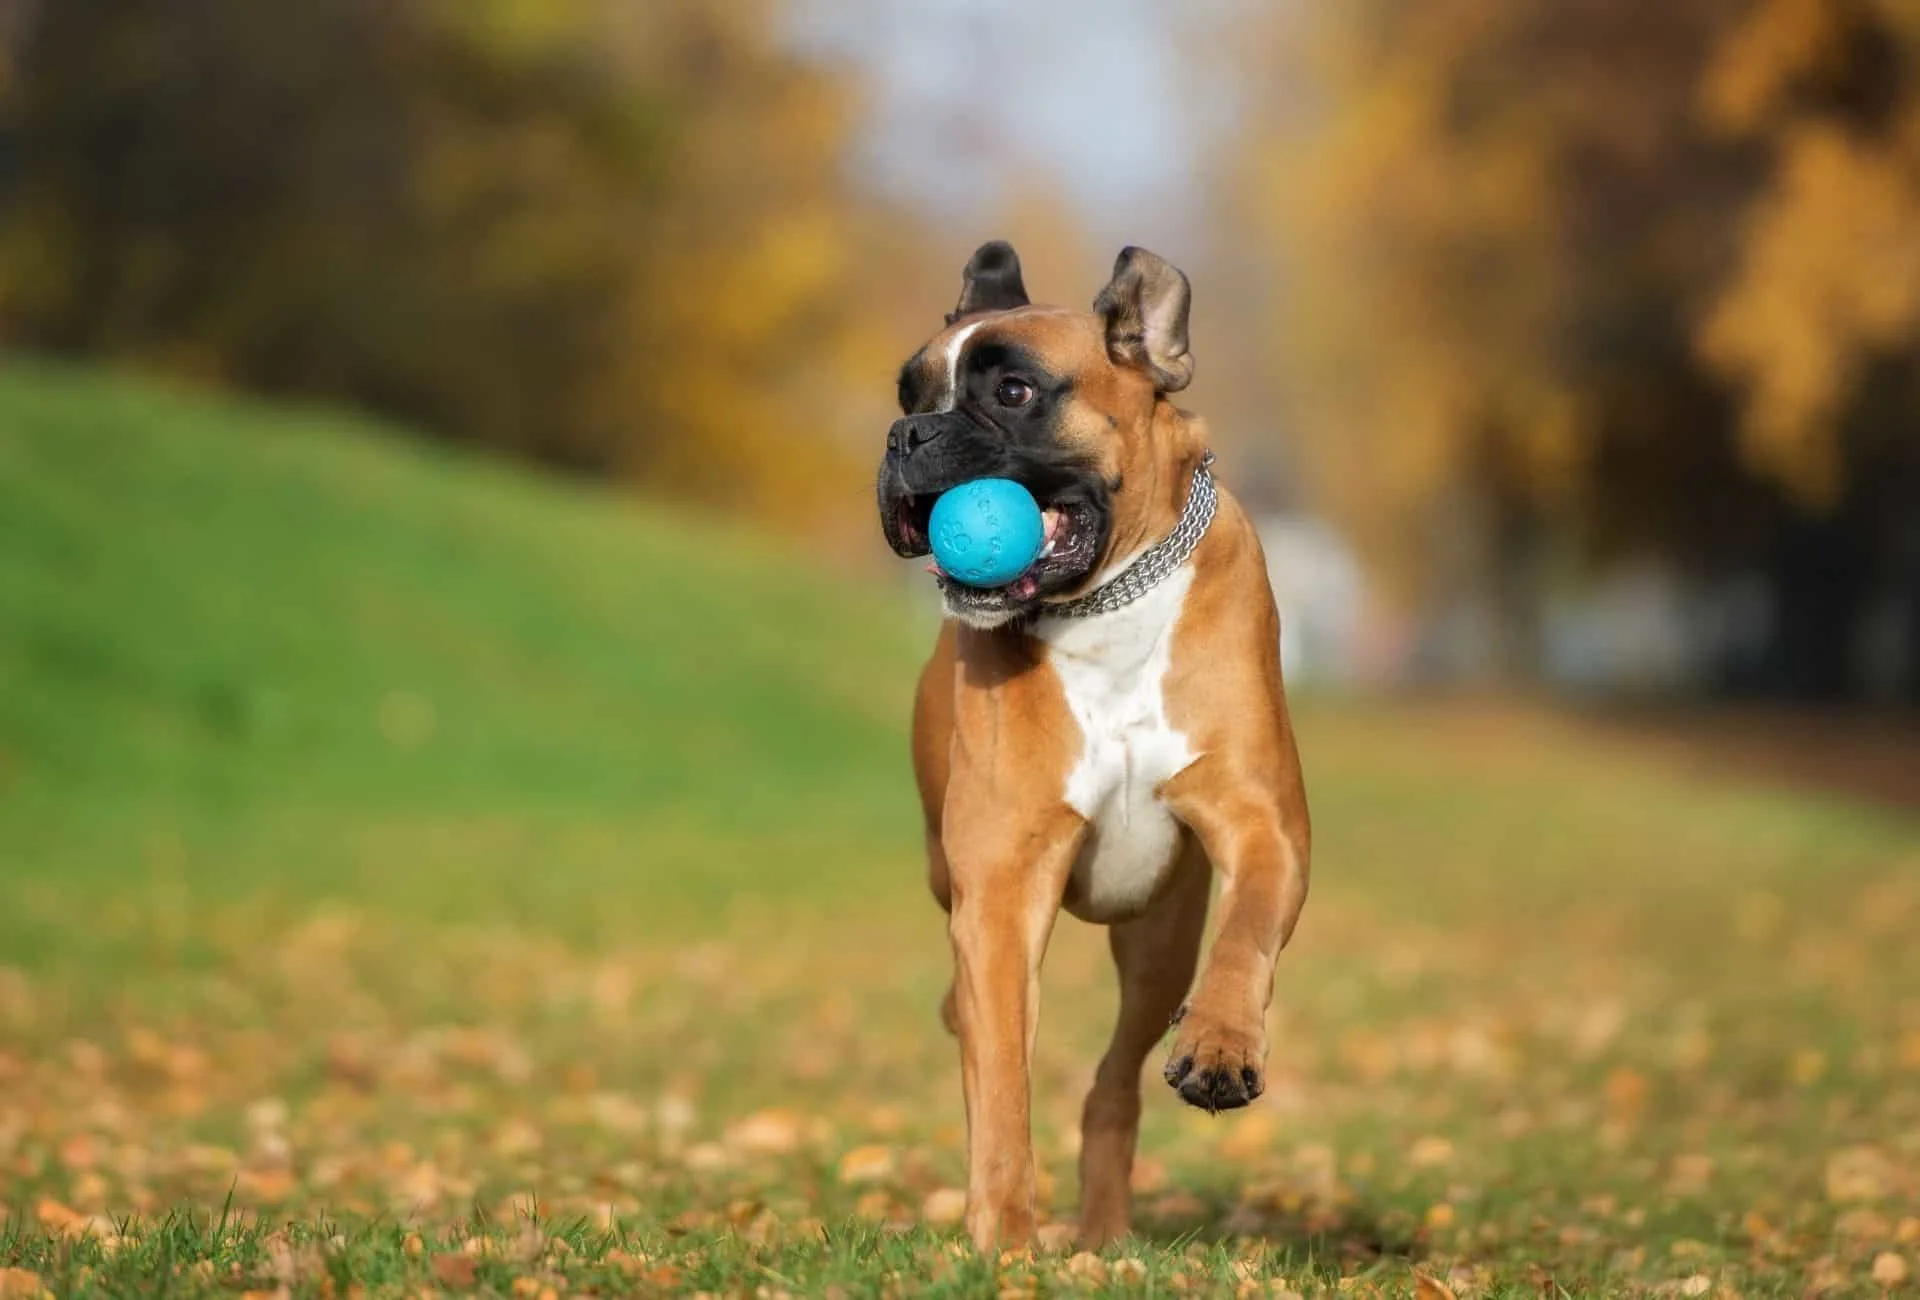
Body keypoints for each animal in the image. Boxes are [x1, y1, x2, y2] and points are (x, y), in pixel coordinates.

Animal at [879, 240, 1313, 1244]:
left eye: (1013, 392)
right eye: (908, 392)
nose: (905, 437)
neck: (1105, 602)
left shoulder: (1264, 828)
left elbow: (1247, 930)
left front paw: (1222, 1042)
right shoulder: (1000, 892)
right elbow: (1001, 1088)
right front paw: (1001, 1239)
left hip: (1156, 943)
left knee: (1114, 1082)